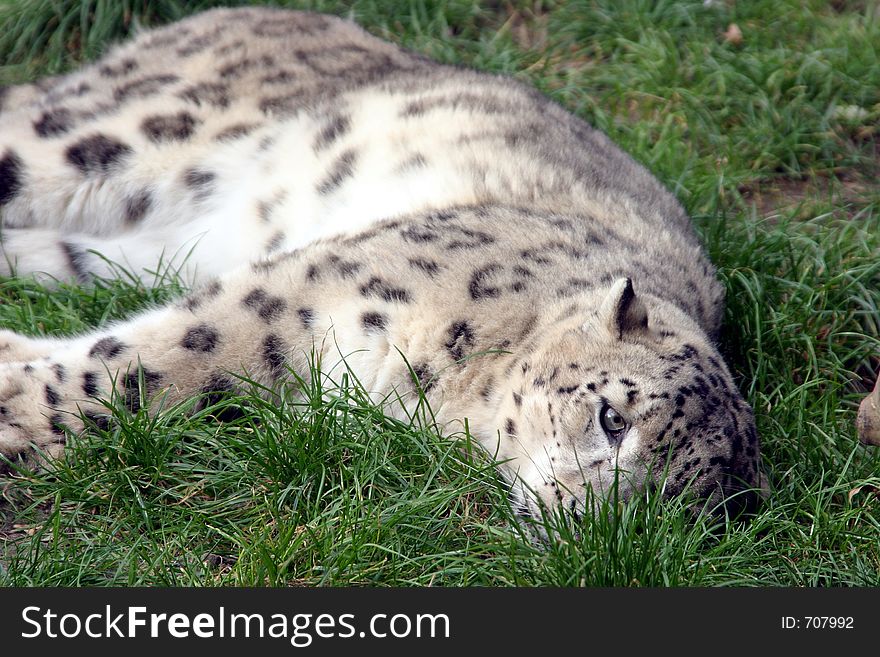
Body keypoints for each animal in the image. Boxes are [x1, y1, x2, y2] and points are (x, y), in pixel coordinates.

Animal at [0, 5, 764, 516]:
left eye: (665, 506)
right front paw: (14, 412)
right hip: (104, 136)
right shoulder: (304, 289)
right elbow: (155, 360)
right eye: (612, 417)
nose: (587, 517)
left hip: (131, 247)